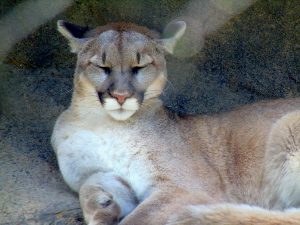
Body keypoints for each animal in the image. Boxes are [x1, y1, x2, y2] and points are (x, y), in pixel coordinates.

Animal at [52, 20, 300, 224]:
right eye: (103, 67)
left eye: (139, 67)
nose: (121, 96)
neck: (105, 123)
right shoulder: (93, 171)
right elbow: (92, 182)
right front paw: (102, 206)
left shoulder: (187, 187)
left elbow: (139, 218)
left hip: (288, 124)